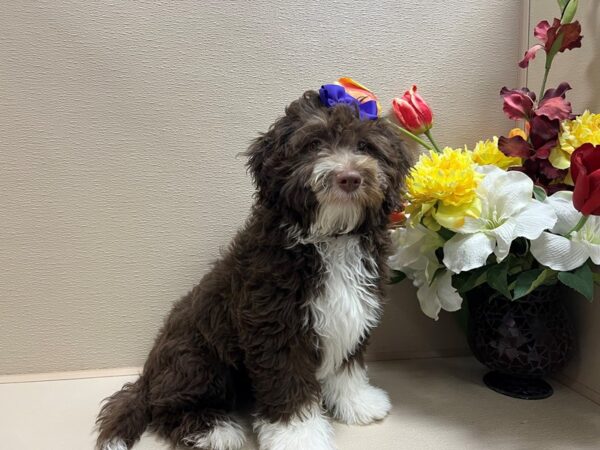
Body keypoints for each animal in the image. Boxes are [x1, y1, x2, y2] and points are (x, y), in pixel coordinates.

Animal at [96, 90, 412, 450]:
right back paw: (215, 430)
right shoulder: (275, 328)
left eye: (364, 146)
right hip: (196, 356)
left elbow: (347, 368)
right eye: (314, 144)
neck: (330, 240)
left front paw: (358, 402)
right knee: (168, 408)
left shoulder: (353, 315)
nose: (349, 177)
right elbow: (289, 391)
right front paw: (299, 438)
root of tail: (146, 378)